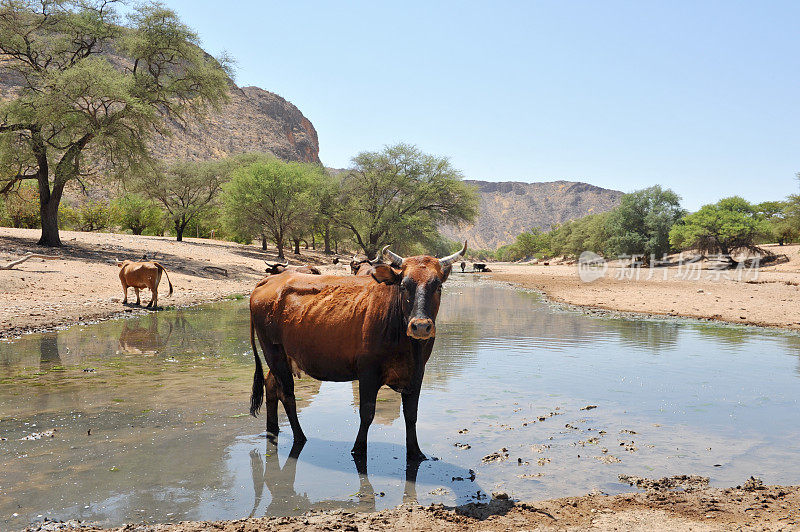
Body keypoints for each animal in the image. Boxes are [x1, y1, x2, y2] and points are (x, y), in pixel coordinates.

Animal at [250, 240, 468, 458]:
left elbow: (411, 415)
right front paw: (359, 449)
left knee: (271, 386)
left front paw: (416, 453)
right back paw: (300, 437)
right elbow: (367, 413)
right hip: (274, 352)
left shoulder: (416, 373)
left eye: (438, 286)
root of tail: (268, 281)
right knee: (287, 395)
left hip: (282, 357)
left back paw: (272, 430)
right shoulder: (368, 372)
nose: (421, 326)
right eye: (404, 285)